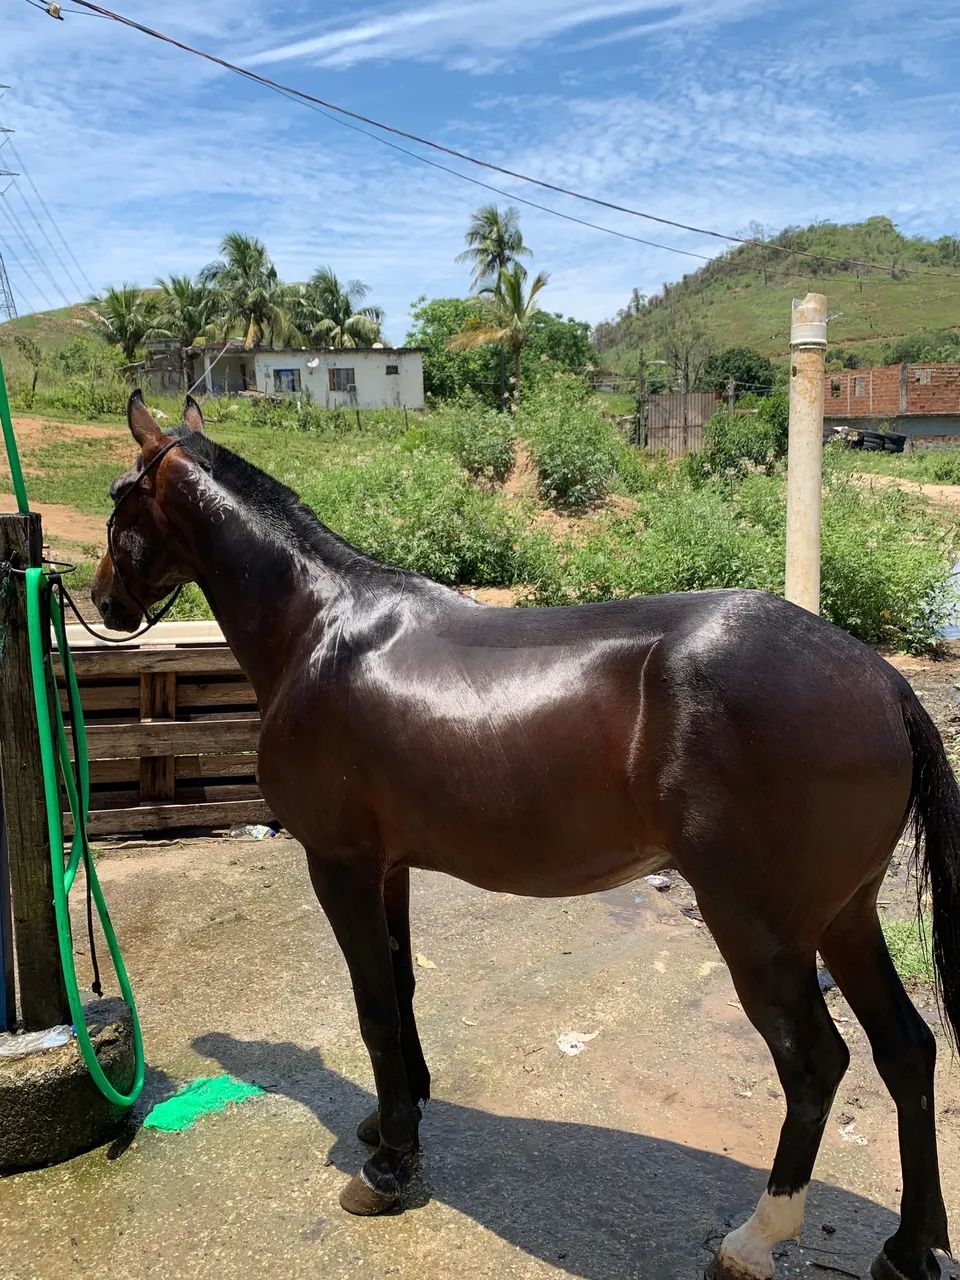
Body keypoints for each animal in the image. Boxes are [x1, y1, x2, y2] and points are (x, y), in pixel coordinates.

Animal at [91, 392, 960, 1280]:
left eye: (118, 499)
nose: (104, 604)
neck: (323, 631)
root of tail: (884, 683)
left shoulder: (338, 863)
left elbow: (373, 1005)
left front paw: (387, 1168)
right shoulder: (389, 868)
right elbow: (401, 986)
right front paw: (395, 1120)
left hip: (760, 930)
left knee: (817, 1065)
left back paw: (756, 1238)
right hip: (845, 916)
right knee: (908, 1052)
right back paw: (909, 1245)